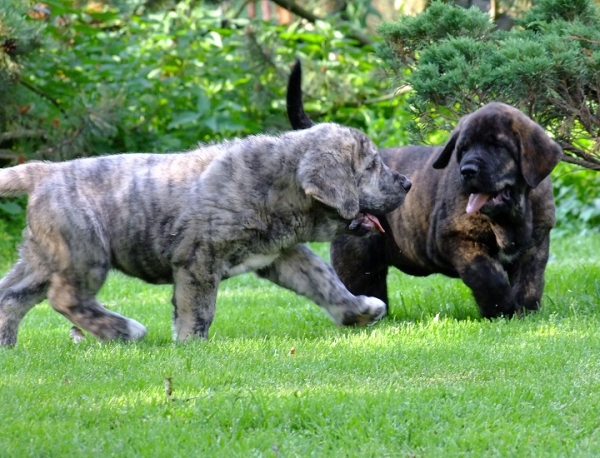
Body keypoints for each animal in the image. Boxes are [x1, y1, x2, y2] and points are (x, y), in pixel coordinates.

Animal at [0, 123, 412, 346]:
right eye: (372, 167)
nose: (407, 183)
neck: (280, 184)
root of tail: (47, 172)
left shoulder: (283, 255)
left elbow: (325, 282)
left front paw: (359, 311)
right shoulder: (199, 258)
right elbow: (199, 308)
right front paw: (192, 345)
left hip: (41, 258)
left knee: (11, 295)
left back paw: (7, 346)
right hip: (84, 253)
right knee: (65, 298)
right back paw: (123, 331)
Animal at [288, 61, 564, 318]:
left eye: (496, 147)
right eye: (462, 149)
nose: (467, 170)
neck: (510, 217)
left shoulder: (536, 245)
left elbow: (530, 282)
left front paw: (526, 311)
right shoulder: (458, 239)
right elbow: (488, 278)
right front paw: (502, 309)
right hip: (356, 254)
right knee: (358, 285)